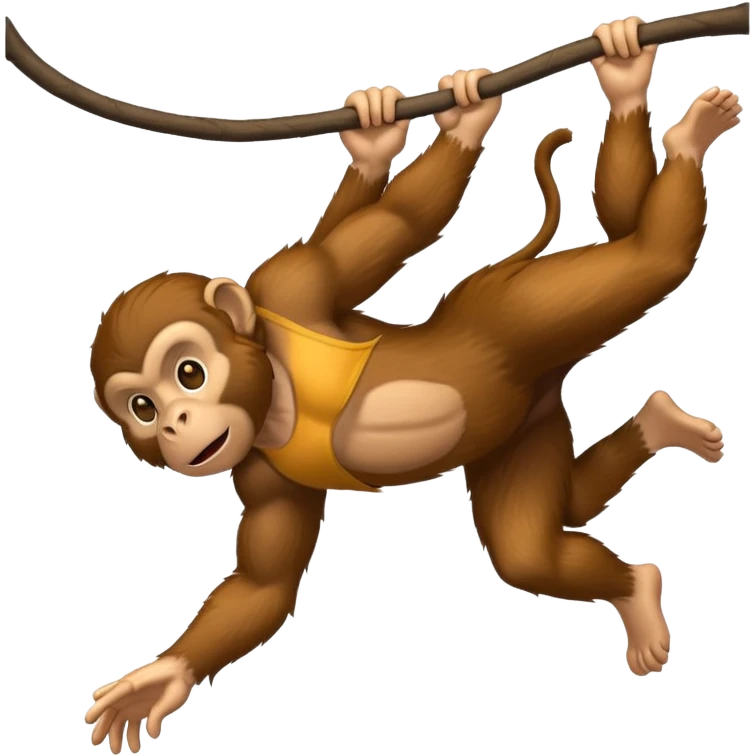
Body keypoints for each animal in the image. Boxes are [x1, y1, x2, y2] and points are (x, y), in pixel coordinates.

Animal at [85, 17, 736, 752]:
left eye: (189, 373)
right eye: (142, 406)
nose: (175, 424)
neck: (278, 393)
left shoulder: (295, 281)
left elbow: (400, 225)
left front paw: (457, 117)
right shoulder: (259, 474)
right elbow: (263, 583)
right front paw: (161, 679)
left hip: (528, 311)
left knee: (651, 253)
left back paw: (666, 117)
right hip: (524, 412)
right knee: (535, 540)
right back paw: (652, 505)